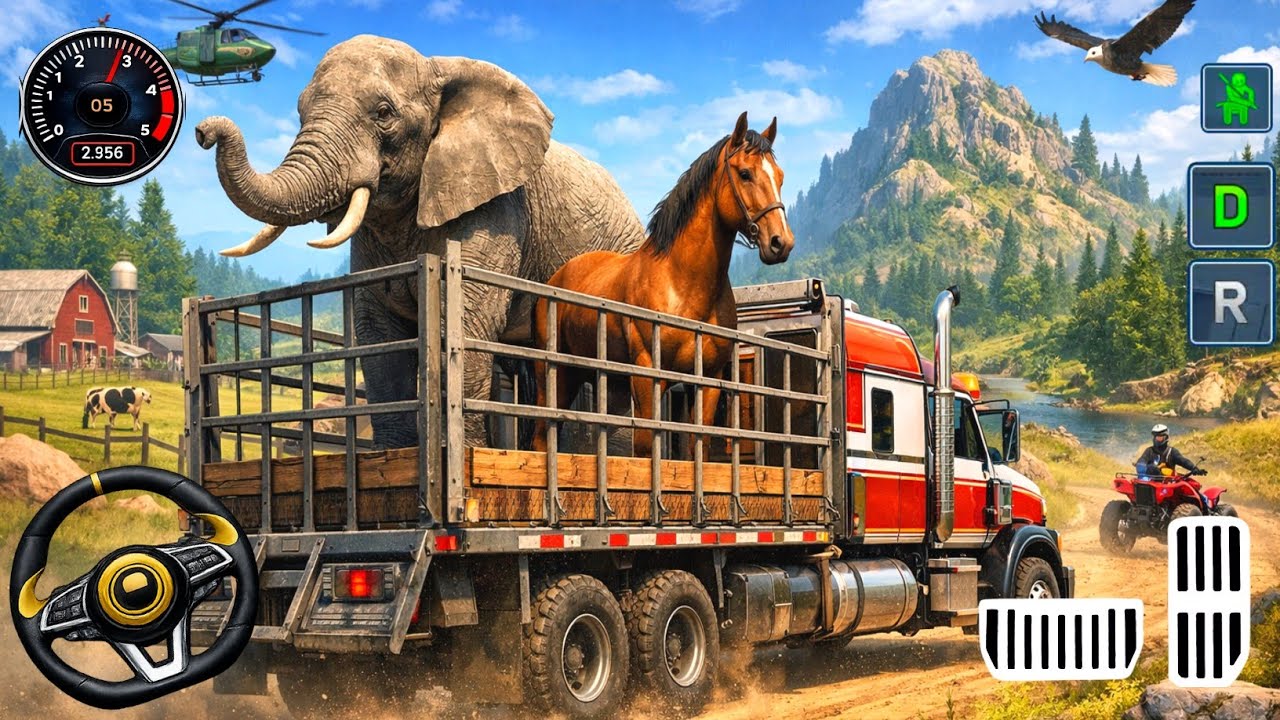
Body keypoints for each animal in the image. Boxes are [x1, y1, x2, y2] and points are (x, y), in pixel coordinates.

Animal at [531, 112, 794, 457]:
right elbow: (646, 450)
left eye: (780, 176)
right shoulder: (647, 376)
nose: (781, 242)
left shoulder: (707, 382)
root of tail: (557, 277)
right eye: (745, 173)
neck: (682, 286)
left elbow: (697, 449)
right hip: (553, 375)